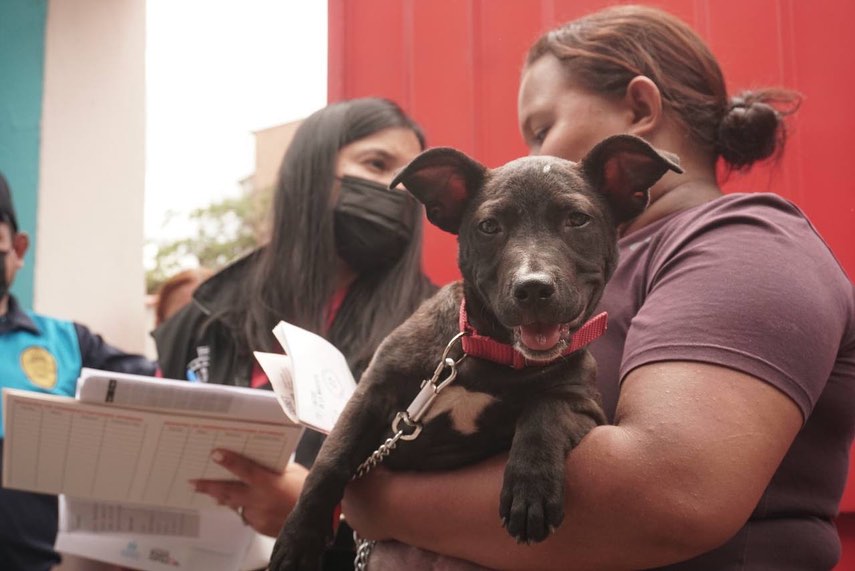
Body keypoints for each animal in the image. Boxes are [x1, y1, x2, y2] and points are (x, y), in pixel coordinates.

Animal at [270, 135, 684, 571]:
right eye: (489, 227)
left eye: (577, 220)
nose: (533, 288)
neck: (491, 353)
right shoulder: (372, 393)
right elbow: (330, 460)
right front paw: (299, 537)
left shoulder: (586, 406)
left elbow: (547, 409)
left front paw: (530, 488)